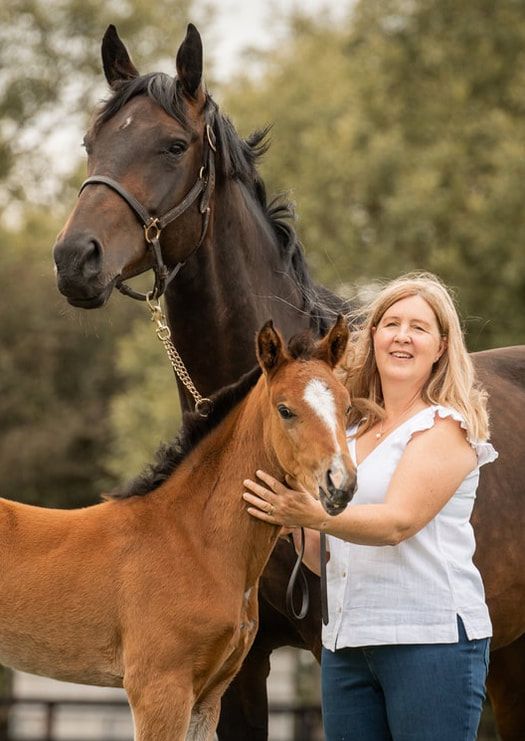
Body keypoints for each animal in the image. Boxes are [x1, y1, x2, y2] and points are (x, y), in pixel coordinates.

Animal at [0, 318, 355, 741]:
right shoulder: (159, 688)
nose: (341, 484)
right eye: (285, 410)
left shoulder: (210, 695)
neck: (193, 541)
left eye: (347, 405)